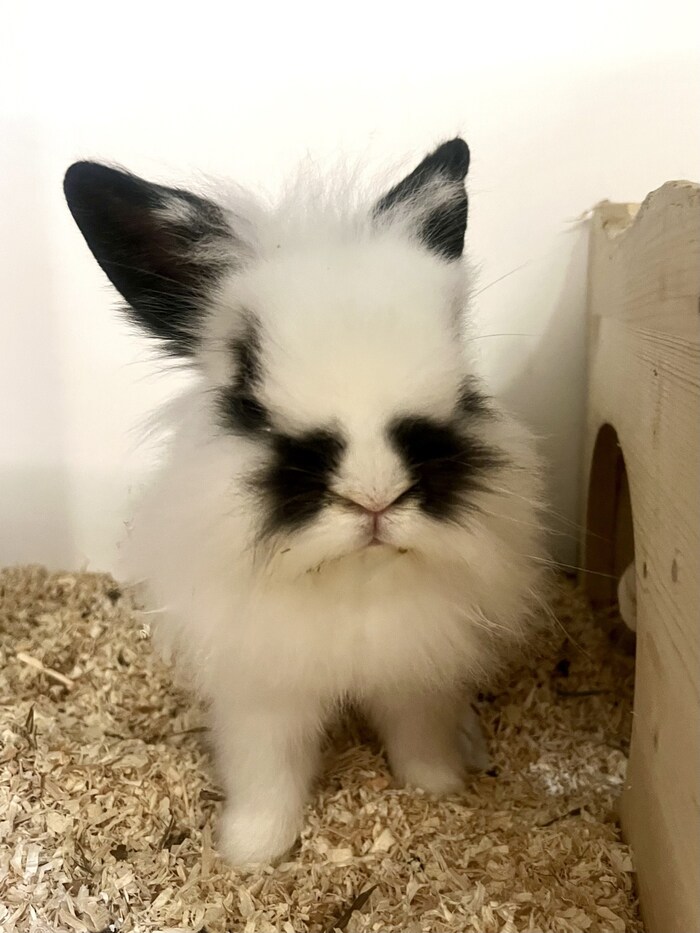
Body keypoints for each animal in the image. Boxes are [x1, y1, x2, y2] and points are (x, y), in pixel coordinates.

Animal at [64, 138, 550, 866]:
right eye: (246, 395)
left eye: (466, 387)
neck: (354, 579)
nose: (375, 496)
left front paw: (438, 791)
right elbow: (268, 774)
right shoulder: (263, 697)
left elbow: (420, 739)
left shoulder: (419, 676)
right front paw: (251, 852)